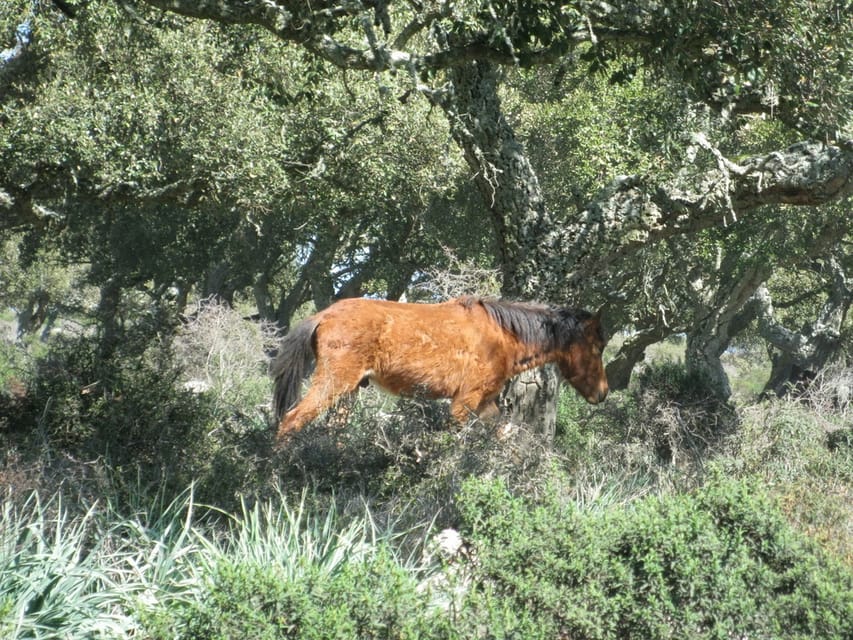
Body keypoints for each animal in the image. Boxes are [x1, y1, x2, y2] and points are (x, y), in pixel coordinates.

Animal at [270, 296, 608, 442]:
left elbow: (503, 433)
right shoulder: (462, 404)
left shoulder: (485, 405)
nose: (603, 393)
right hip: (333, 383)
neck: (501, 336)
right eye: (598, 347)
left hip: (349, 391)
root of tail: (324, 315)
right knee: (291, 421)